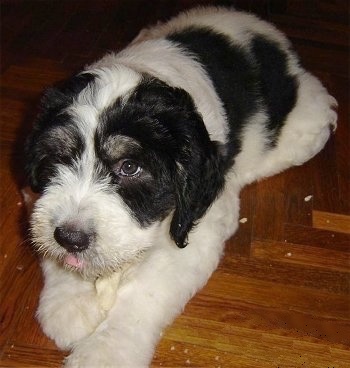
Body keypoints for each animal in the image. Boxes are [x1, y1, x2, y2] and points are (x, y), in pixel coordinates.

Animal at [24, 6, 336, 368]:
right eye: (58, 156)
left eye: (129, 167)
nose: (72, 238)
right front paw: (68, 304)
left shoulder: (198, 229)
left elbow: (146, 290)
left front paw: (105, 351)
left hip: (307, 126)